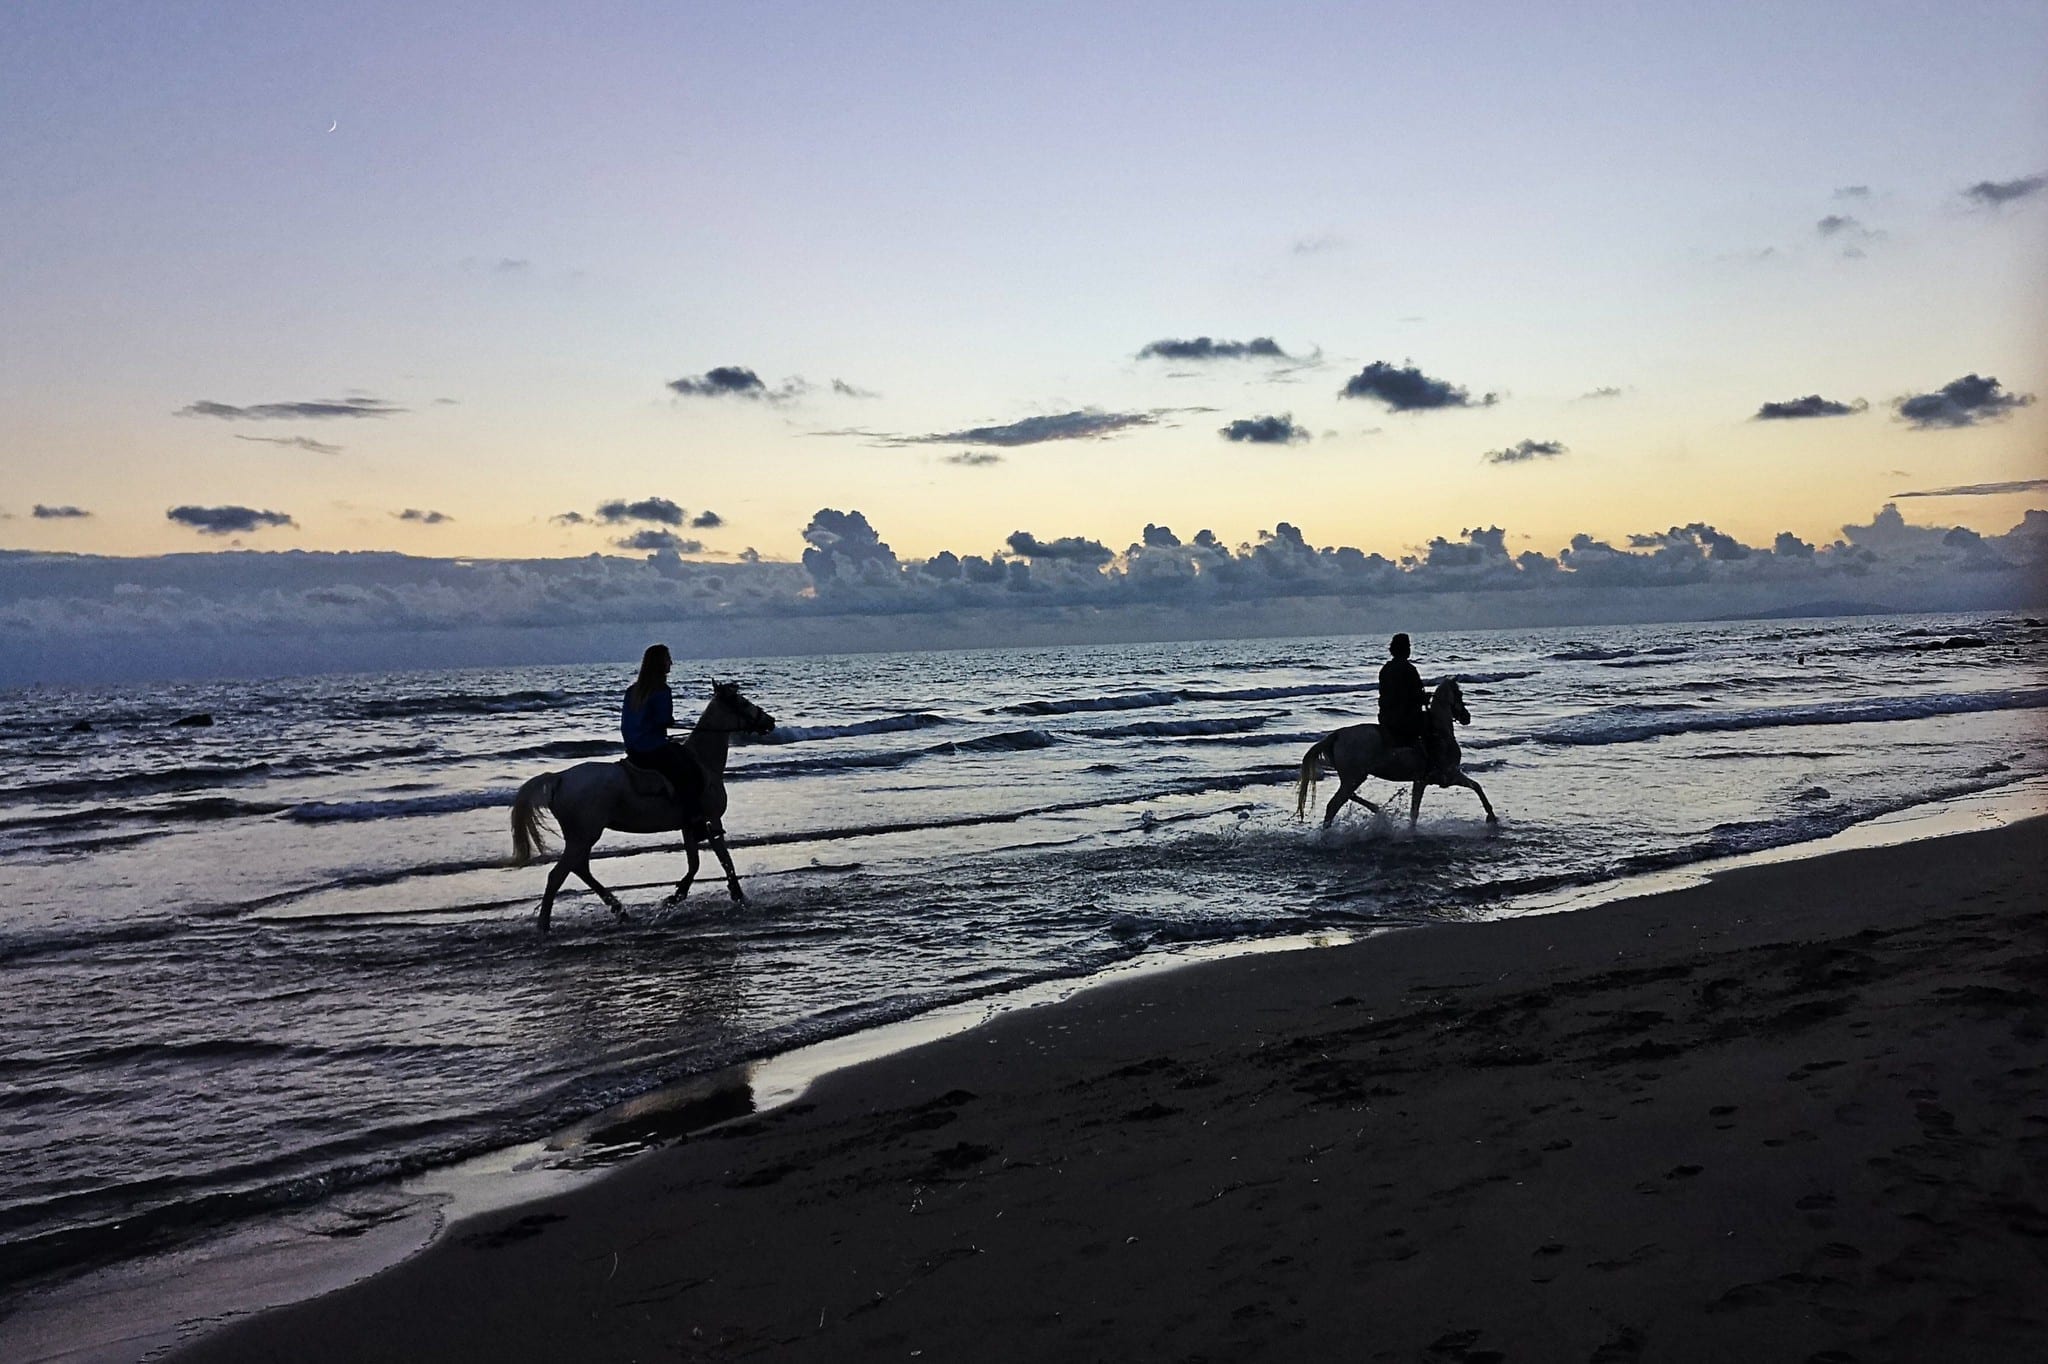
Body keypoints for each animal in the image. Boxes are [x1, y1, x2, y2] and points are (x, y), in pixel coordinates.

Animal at [510, 681, 776, 932]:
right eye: (742, 702)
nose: (770, 721)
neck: (703, 762)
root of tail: (559, 778)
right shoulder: (711, 820)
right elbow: (724, 859)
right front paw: (737, 896)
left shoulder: (689, 826)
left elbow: (696, 864)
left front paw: (676, 896)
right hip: (583, 836)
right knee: (558, 875)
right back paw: (545, 926)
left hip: (581, 837)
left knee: (579, 868)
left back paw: (620, 911)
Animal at [1293, 678, 1500, 829]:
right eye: (1459, 694)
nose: (1466, 717)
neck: (1440, 730)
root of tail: (1337, 734)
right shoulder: (1449, 774)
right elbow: (1477, 787)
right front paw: (1491, 816)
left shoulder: (1421, 781)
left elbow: (1414, 811)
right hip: (1354, 778)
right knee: (1333, 805)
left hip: (1352, 778)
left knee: (1348, 796)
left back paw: (1377, 810)